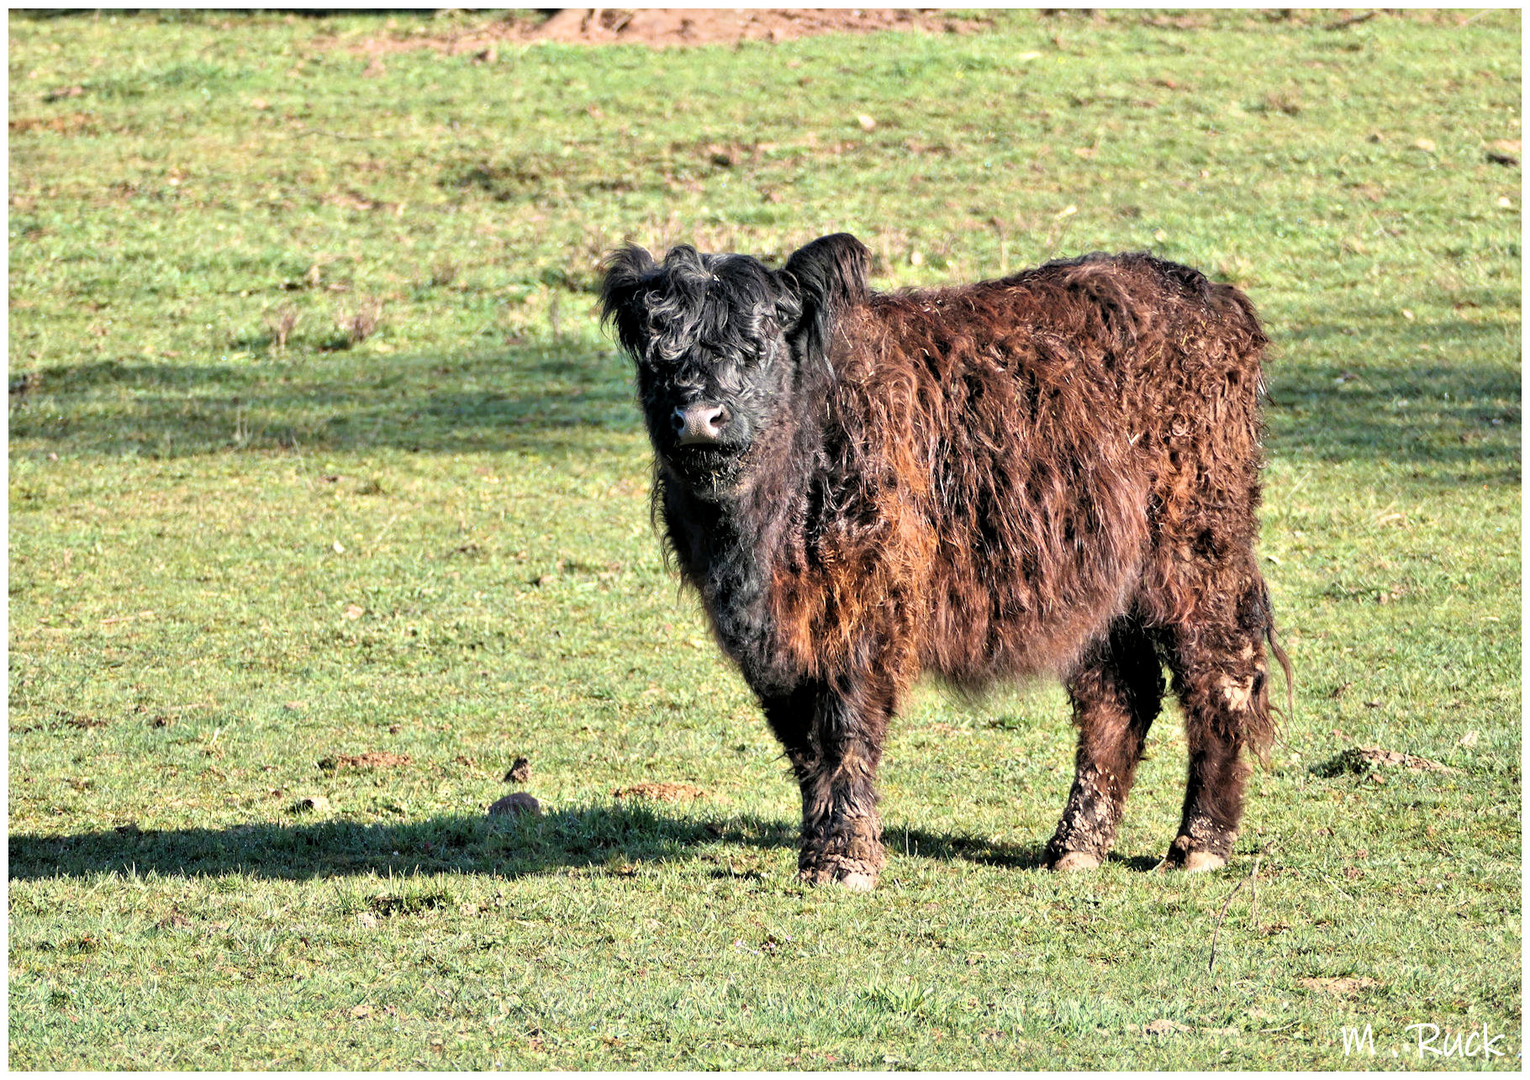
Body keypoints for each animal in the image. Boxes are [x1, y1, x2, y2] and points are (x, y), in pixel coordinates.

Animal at [596, 230, 1291, 887]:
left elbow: (845, 730)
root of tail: (1206, 293)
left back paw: (1198, 846)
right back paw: (1074, 847)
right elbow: (804, 743)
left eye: (757, 342)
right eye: (655, 350)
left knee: (1220, 673)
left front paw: (846, 860)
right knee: (1119, 697)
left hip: (1196, 546)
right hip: (1096, 580)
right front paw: (819, 852)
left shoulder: (864, 605)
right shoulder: (772, 640)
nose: (699, 417)